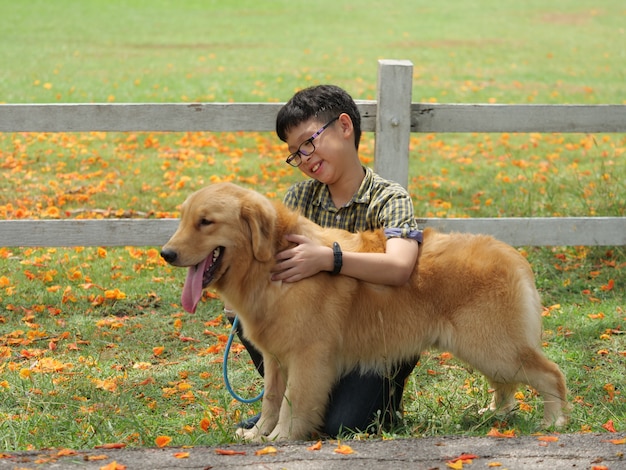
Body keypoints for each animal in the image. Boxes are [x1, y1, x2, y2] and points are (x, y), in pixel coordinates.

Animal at [160, 183, 564, 440]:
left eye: (206, 221)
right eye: (183, 219)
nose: (166, 253)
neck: (272, 261)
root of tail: (513, 255)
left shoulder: (308, 358)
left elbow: (292, 402)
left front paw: (281, 437)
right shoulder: (276, 358)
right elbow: (273, 398)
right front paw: (259, 434)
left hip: (494, 348)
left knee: (551, 375)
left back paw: (555, 421)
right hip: (487, 351)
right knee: (506, 385)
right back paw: (496, 415)